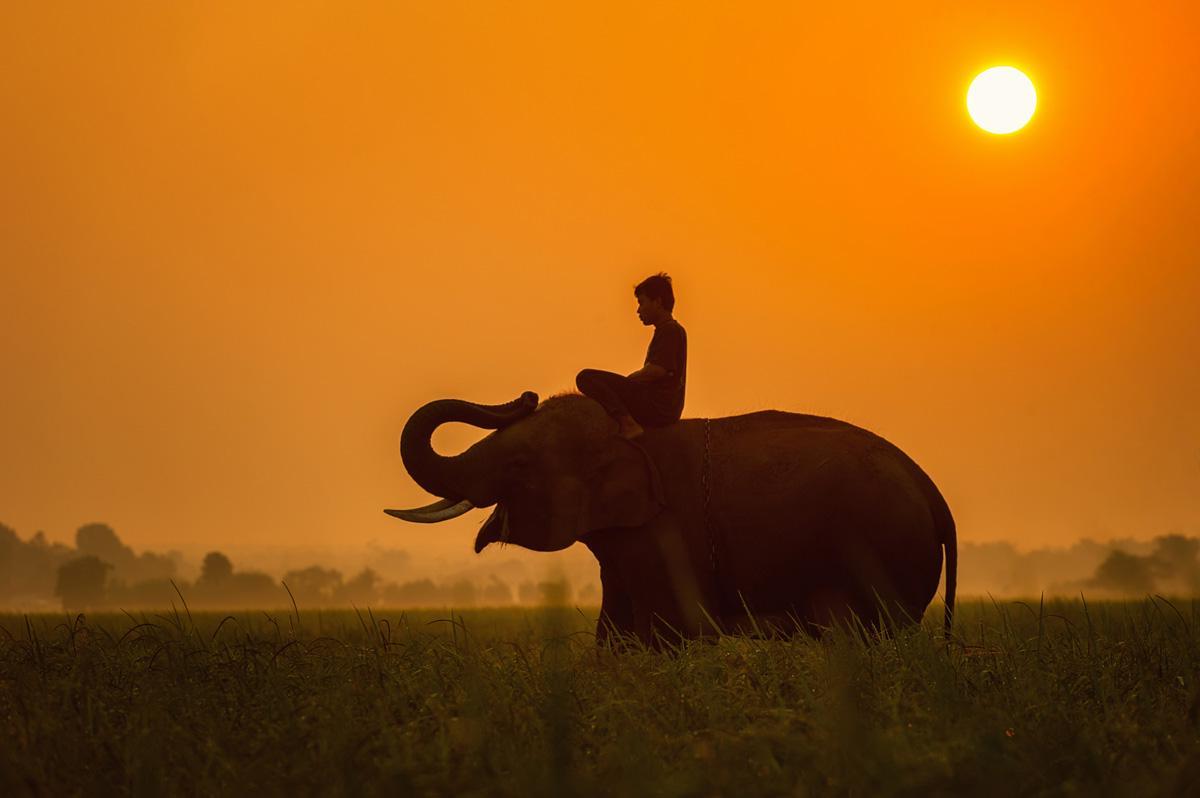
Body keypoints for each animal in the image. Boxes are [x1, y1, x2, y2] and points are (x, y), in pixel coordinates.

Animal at [386, 391, 957, 645]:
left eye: (519, 464)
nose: (524, 396)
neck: (625, 434)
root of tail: (932, 491)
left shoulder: (667, 533)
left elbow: (667, 630)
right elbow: (614, 634)